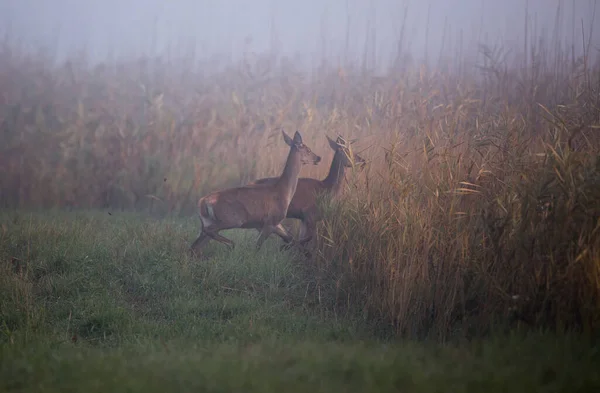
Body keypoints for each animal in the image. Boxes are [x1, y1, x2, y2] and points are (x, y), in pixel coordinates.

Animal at [191, 130, 324, 256]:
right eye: (308, 150)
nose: (319, 158)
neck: (283, 191)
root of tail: (202, 202)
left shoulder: (274, 224)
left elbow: (293, 239)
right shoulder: (270, 221)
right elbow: (257, 247)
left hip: (208, 221)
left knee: (195, 246)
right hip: (232, 218)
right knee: (207, 234)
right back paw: (232, 244)